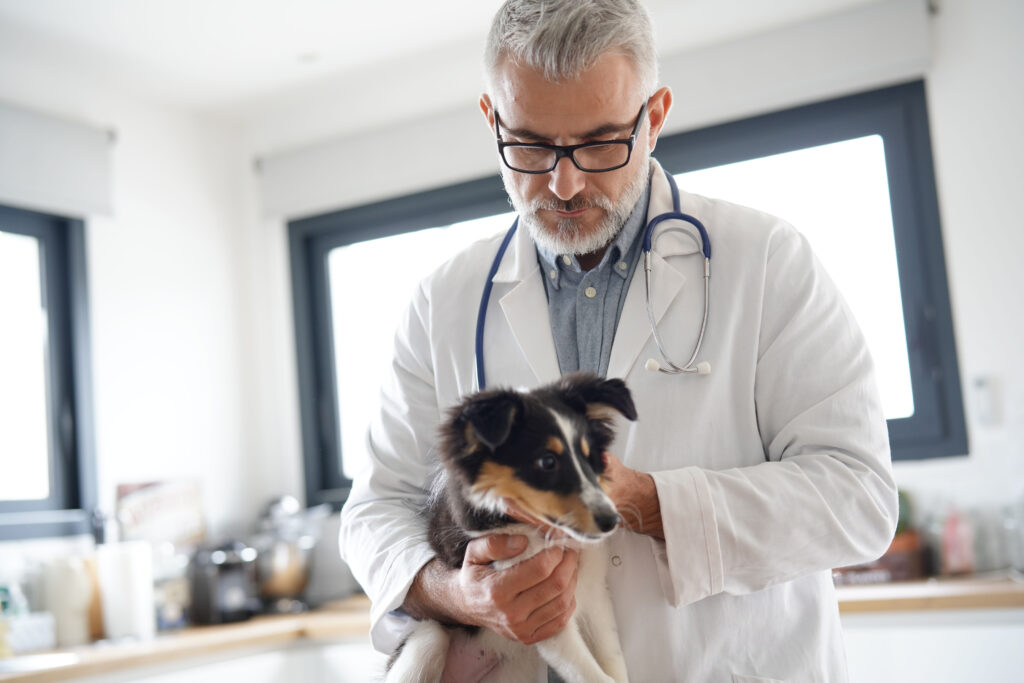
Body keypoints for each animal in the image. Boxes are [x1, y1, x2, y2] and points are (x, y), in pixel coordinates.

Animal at [387, 374, 634, 683]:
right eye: (547, 462)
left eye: (591, 459)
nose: (611, 521)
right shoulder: (542, 611)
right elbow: (590, 673)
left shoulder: (595, 595)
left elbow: (613, 660)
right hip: (429, 636)